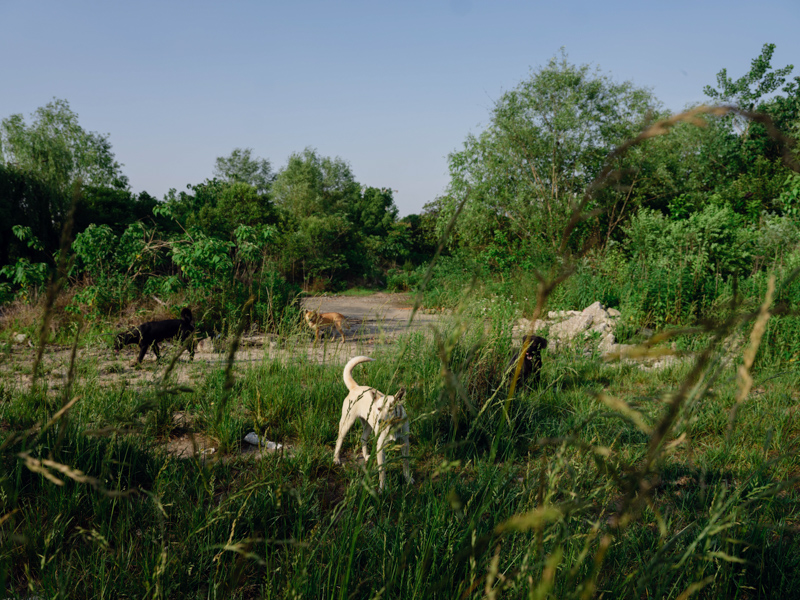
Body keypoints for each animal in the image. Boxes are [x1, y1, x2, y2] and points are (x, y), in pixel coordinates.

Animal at [334, 356, 416, 488]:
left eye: (391, 408)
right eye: (378, 408)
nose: (380, 421)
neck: (392, 426)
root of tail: (355, 387)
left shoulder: (405, 443)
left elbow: (406, 463)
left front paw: (408, 478)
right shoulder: (380, 446)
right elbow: (382, 470)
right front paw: (383, 488)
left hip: (368, 426)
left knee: (363, 438)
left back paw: (366, 456)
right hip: (347, 422)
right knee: (339, 440)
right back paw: (336, 459)